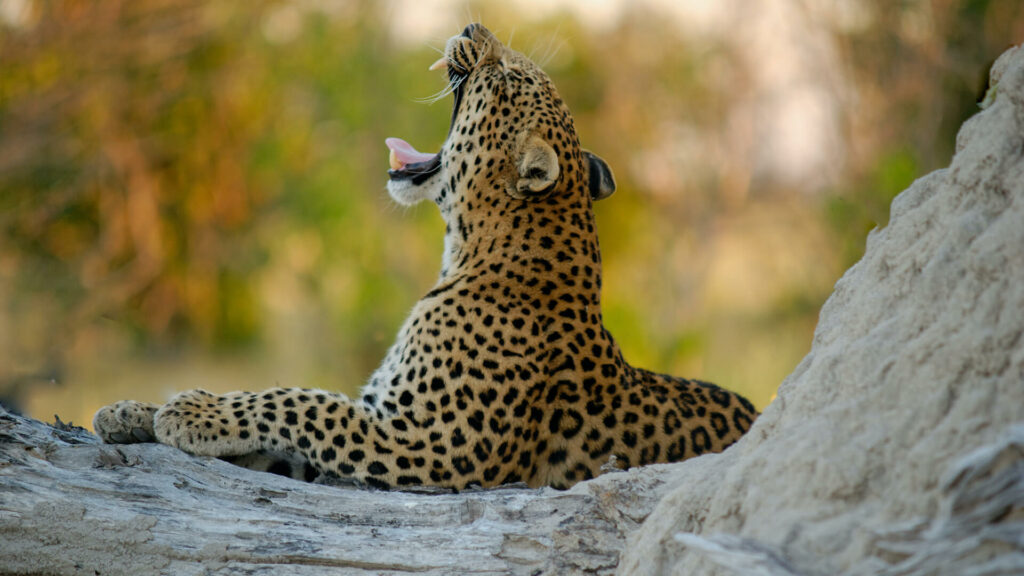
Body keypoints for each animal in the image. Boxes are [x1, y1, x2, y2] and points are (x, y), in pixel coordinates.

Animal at [93, 23, 758, 490]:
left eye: (508, 75)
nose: (471, 27)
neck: (467, 250)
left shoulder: (428, 446)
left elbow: (304, 401)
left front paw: (190, 409)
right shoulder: (377, 419)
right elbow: (283, 426)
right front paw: (132, 410)